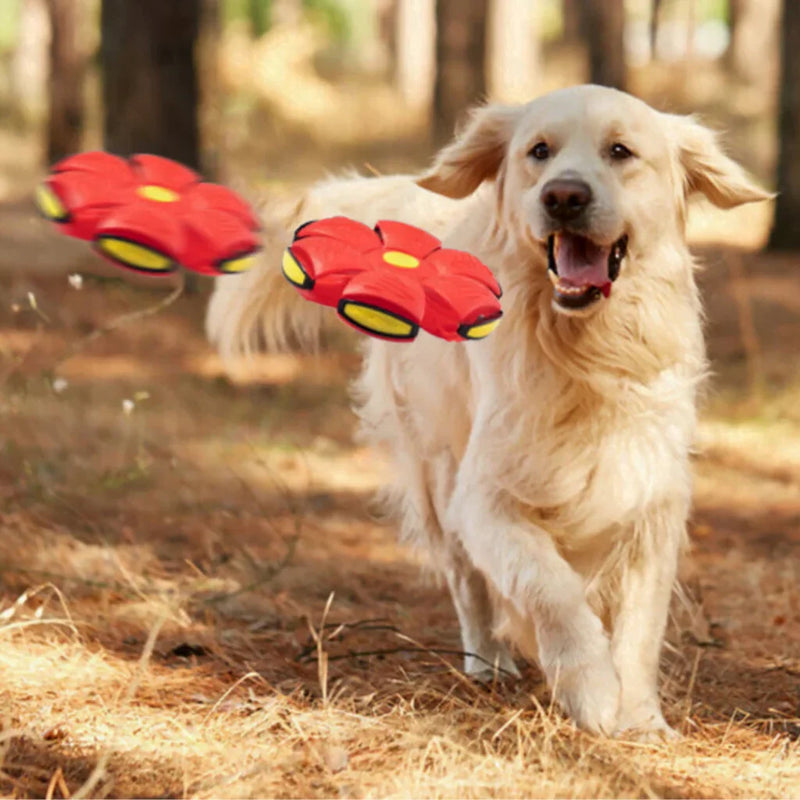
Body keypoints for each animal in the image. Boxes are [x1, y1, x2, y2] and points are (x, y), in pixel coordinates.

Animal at [206, 83, 768, 736]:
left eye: (620, 151)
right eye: (538, 151)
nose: (564, 196)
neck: (584, 352)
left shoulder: (650, 497)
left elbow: (639, 627)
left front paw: (640, 718)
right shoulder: (485, 496)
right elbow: (550, 586)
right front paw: (592, 689)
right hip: (436, 470)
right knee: (465, 578)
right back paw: (488, 661)